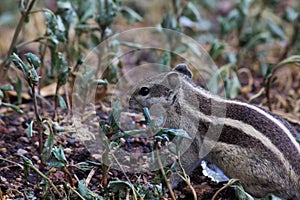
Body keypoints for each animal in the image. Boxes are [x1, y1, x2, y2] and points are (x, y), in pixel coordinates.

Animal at [128, 63, 300, 198]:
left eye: (144, 91)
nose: (129, 102)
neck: (184, 102)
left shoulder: (190, 140)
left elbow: (183, 165)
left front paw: (164, 184)